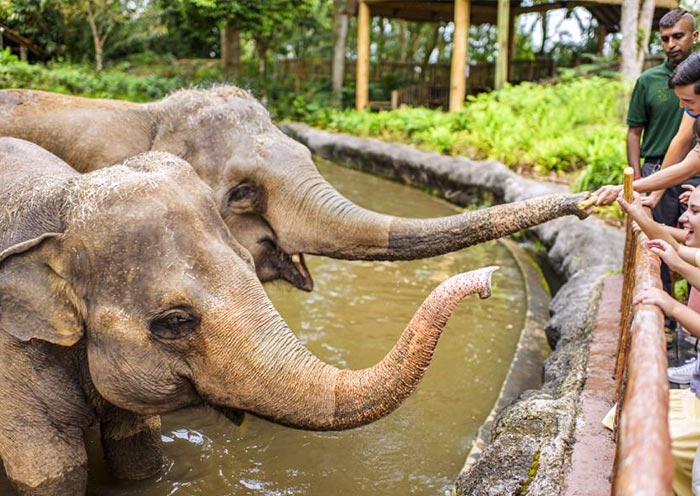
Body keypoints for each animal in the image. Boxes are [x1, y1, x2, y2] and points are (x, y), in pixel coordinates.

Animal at [0, 137, 497, 495]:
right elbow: (51, 471)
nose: (487, 279)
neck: (60, 207)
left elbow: (139, 456)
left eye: (246, 260)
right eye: (176, 321)